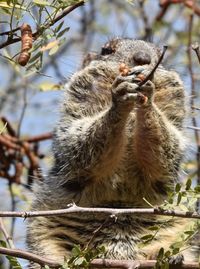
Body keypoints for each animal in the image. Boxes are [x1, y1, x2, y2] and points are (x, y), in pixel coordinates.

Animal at [26, 37, 198, 266]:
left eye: (160, 55)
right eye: (106, 50)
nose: (143, 58)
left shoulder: (174, 109)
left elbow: (166, 149)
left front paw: (148, 93)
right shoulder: (77, 104)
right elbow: (79, 141)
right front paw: (120, 96)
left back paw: (174, 258)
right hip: (43, 232)